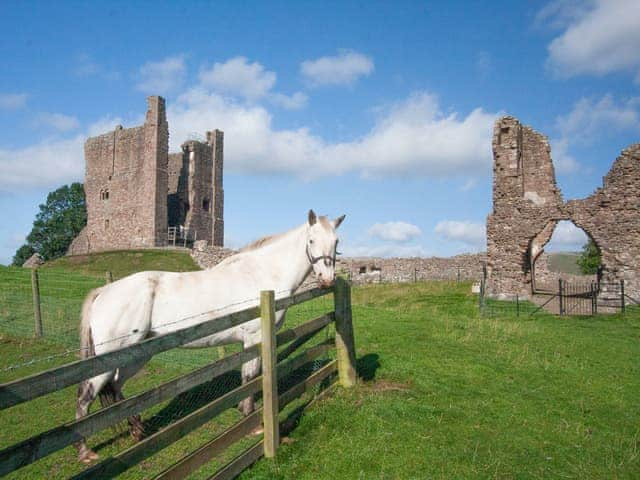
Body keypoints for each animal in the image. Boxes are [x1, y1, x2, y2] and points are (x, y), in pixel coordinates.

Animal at [75, 210, 344, 462]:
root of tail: (104, 291)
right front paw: (252, 423)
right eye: (311, 240)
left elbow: (247, 377)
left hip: (136, 355)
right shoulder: (254, 339)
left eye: (336, 241)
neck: (261, 274)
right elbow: (250, 377)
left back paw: (138, 430)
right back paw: (86, 452)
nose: (327, 279)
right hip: (112, 358)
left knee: (116, 388)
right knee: (85, 396)